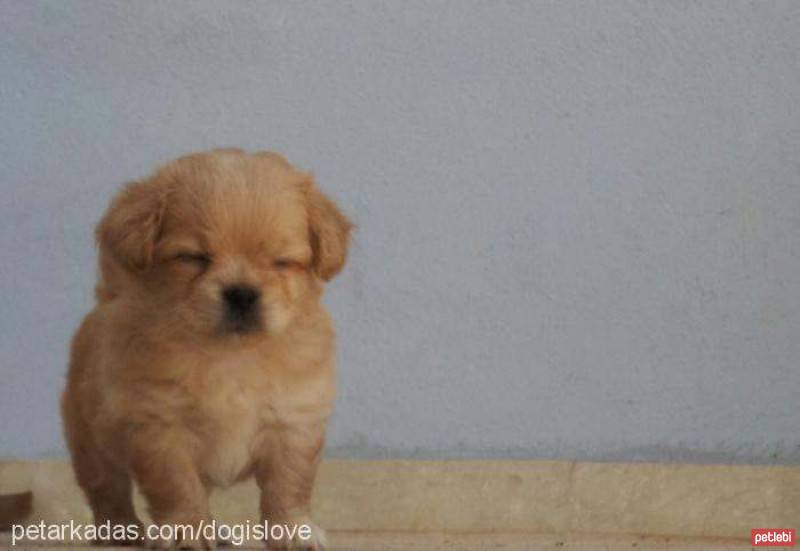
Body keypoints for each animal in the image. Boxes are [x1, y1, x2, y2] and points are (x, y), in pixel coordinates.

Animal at [60, 149, 354, 548]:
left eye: (281, 262)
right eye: (194, 257)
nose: (242, 293)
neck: (231, 357)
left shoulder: (294, 423)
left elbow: (289, 486)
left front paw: (293, 531)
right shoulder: (161, 429)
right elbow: (178, 488)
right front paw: (184, 530)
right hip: (92, 444)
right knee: (107, 491)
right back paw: (120, 531)